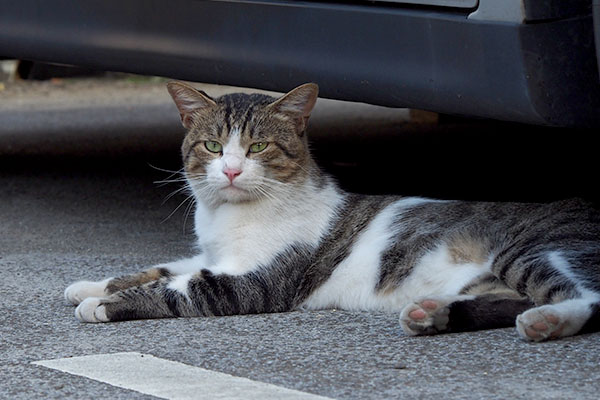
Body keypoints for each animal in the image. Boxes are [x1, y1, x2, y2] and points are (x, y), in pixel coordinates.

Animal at [64, 80, 600, 340]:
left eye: (258, 146)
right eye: (214, 146)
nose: (232, 171)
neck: (230, 216)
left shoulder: (253, 281)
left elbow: (180, 288)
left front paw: (104, 305)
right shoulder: (210, 255)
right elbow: (162, 267)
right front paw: (90, 285)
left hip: (536, 251)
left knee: (584, 298)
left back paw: (547, 322)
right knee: (516, 299)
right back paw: (432, 315)